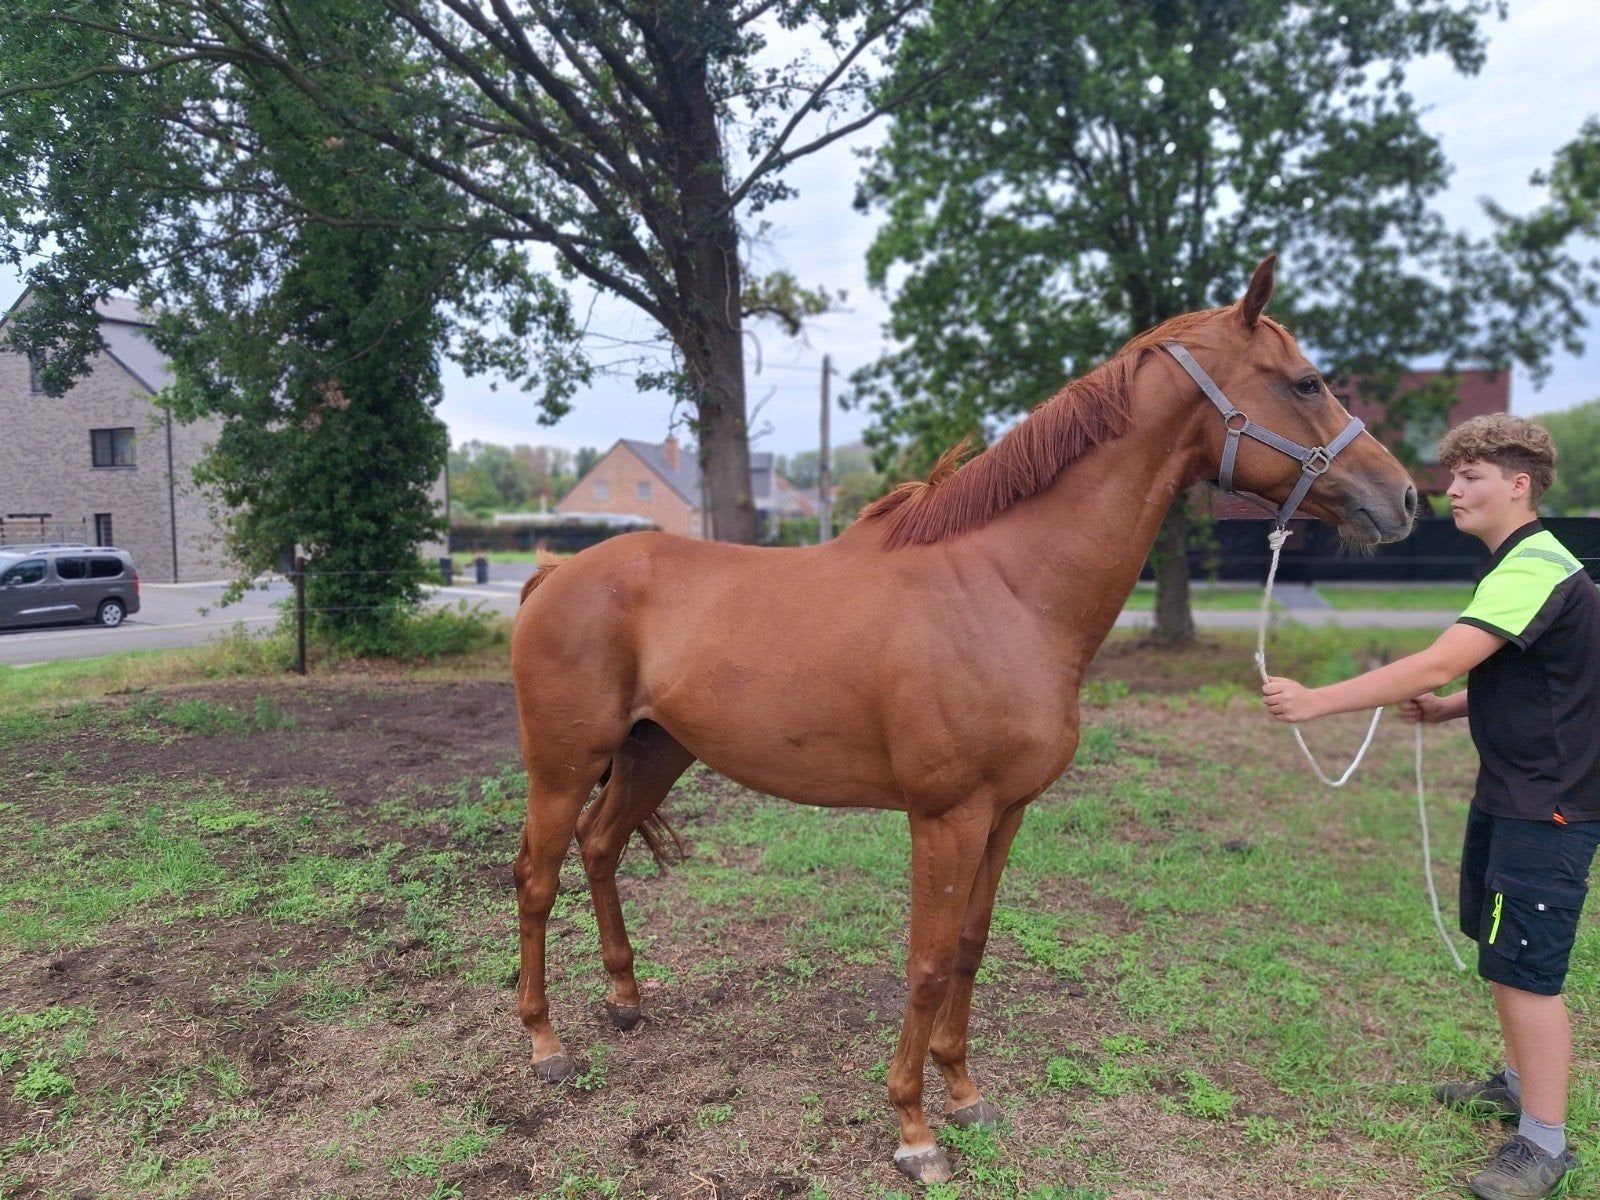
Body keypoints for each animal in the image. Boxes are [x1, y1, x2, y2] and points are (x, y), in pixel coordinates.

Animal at [508, 256, 1416, 1184]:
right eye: (1305, 382)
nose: (1405, 497)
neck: (1005, 590)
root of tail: (552, 573)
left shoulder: (1006, 812)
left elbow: (973, 947)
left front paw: (966, 1094)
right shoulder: (946, 817)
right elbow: (929, 959)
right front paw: (914, 1130)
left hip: (656, 753)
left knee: (600, 849)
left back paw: (625, 1000)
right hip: (563, 763)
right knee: (537, 878)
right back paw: (546, 1045)